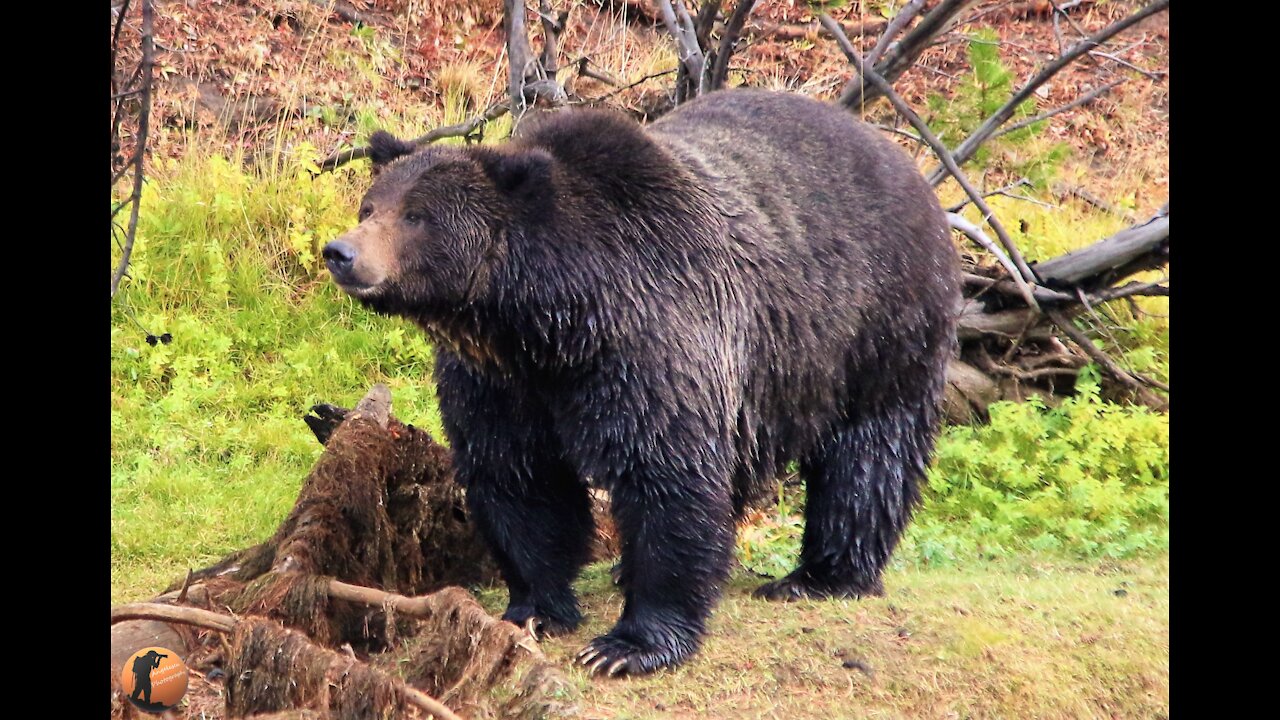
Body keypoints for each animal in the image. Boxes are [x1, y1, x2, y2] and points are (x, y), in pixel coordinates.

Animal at [322, 88, 962, 671]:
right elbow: (518, 477)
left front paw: (628, 645)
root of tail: (903, 157)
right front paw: (534, 607)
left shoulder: (651, 339)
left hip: (877, 325)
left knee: (869, 453)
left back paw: (822, 576)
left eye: (416, 215)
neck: (547, 320)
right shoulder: (502, 381)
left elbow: (665, 474)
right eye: (370, 206)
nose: (341, 252)